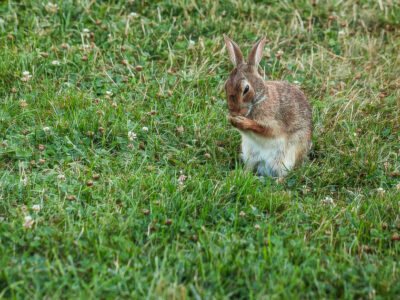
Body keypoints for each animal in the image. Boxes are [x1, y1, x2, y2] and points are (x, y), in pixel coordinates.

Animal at [222, 34, 312, 178]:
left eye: (246, 89)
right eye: (226, 86)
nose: (234, 112)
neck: (259, 99)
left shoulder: (274, 123)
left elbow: (265, 129)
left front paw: (243, 122)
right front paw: (231, 119)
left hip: (286, 157)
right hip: (250, 153)